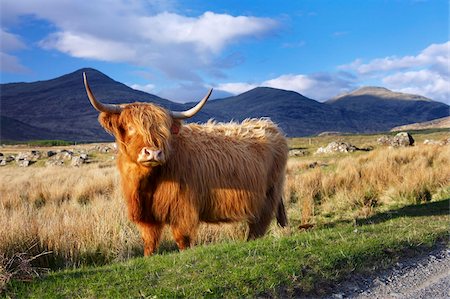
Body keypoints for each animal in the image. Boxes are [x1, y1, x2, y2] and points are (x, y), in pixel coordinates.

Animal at [84, 72, 288, 255]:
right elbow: (149, 243)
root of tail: (271, 127)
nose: (153, 152)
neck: (147, 183)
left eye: (164, 130)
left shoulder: (183, 210)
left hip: (268, 196)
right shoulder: (146, 215)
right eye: (131, 127)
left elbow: (182, 240)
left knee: (258, 227)